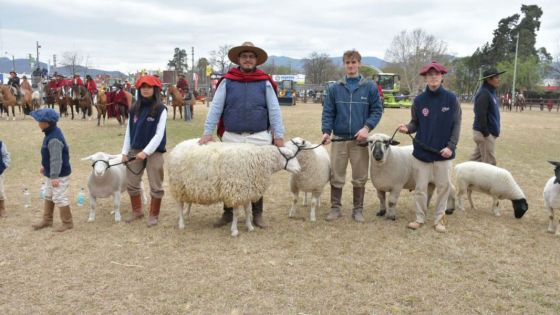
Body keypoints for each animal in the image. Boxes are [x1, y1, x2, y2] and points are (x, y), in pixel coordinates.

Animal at [167, 139, 302, 237]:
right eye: (289, 155)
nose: (299, 169)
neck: (260, 160)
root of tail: (178, 146)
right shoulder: (236, 191)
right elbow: (236, 213)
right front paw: (234, 230)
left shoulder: (247, 190)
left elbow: (247, 210)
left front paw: (250, 227)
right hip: (178, 186)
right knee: (179, 206)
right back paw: (181, 223)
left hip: (187, 187)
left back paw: (186, 215)